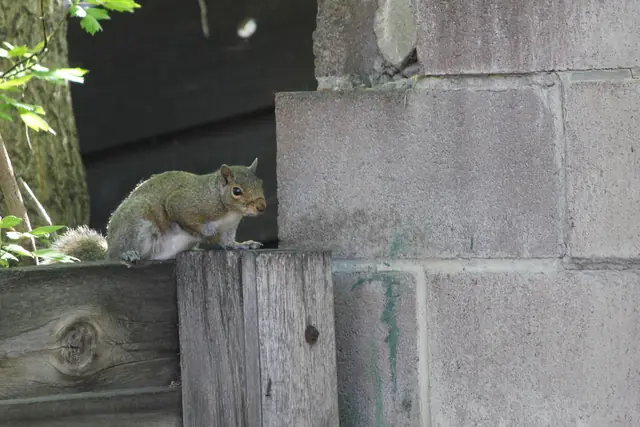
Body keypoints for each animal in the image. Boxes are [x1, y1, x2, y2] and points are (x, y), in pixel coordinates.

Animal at [51, 158, 266, 263]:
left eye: (260, 182)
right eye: (236, 191)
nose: (262, 207)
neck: (229, 212)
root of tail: (108, 249)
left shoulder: (229, 228)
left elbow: (228, 242)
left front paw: (242, 245)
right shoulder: (185, 203)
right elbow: (181, 216)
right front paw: (207, 233)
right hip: (136, 224)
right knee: (117, 253)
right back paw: (126, 255)